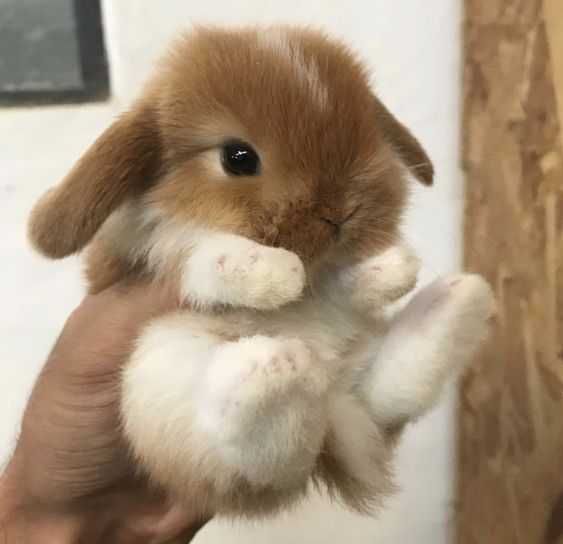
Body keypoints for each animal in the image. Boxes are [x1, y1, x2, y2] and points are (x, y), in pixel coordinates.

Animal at [27, 26, 494, 524]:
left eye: (366, 132)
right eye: (238, 157)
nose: (341, 213)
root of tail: (332, 408)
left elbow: (345, 281)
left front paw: (395, 267)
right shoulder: (140, 255)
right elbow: (204, 253)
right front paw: (277, 274)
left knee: (383, 398)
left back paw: (457, 301)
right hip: (156, 373)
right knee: (255, 464)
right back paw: (273, 364)